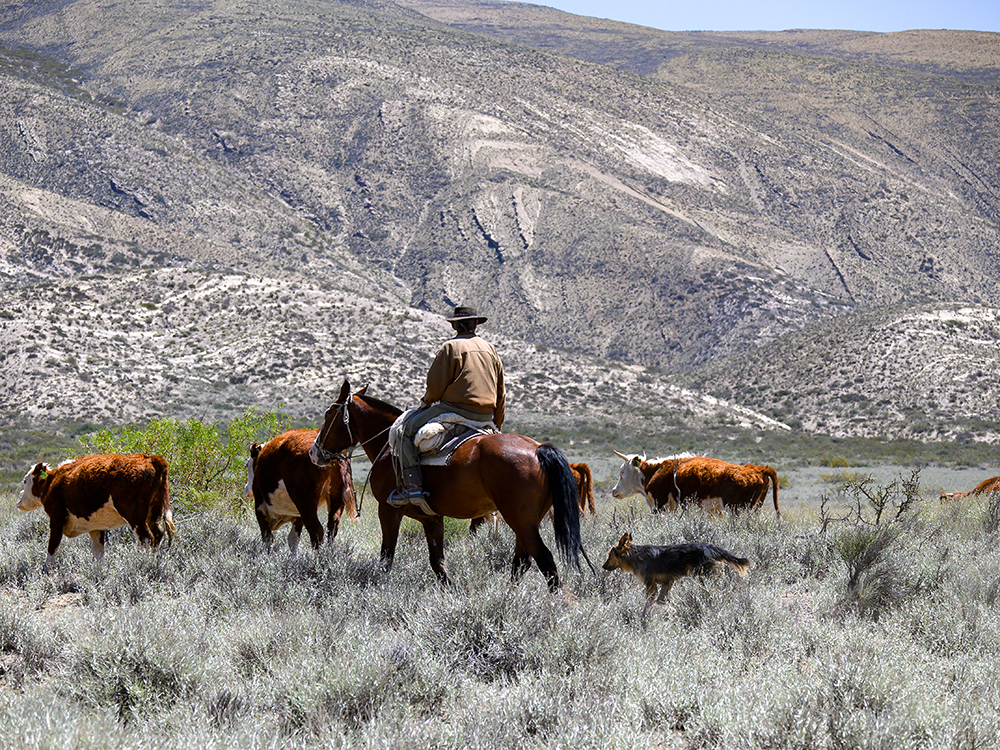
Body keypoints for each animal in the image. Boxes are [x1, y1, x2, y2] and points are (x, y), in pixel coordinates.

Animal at [17, 456, 176, 572]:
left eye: (25, 481)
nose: (19, 499)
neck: (53, 482)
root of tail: (150, 458)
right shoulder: (96, 527)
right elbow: (98, 553)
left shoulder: (56, 518)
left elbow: (52, 547)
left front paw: (45, 571)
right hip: (153, 513)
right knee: (158, 533)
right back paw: (156, 561)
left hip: (135, 517)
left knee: (146, 538)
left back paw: (145, 564)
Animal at [308, 384, 584, 592]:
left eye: (329, 414)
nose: (314, 452)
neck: (388, 448)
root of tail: (538, 449)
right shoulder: (432, 518)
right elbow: (437, 562)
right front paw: (451, 592)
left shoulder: (388, 511)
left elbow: (387, 556)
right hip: (527, 522)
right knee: (522, 561)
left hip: (521, 520)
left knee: (545, 561)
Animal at [600, 536, 752, 604]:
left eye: (609, 556)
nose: (602, 566)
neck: (637, 557)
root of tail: (712, 547)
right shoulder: (667, 582)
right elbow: (661, 602)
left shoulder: (651, 585)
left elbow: (649, 603)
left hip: (704, 577)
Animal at [608, 450, 780, 520]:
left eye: (621, 473)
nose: (614, 490)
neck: (656, 470)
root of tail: (758, 469)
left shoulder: (659, 505)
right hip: (754, 509)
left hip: (737, 509)